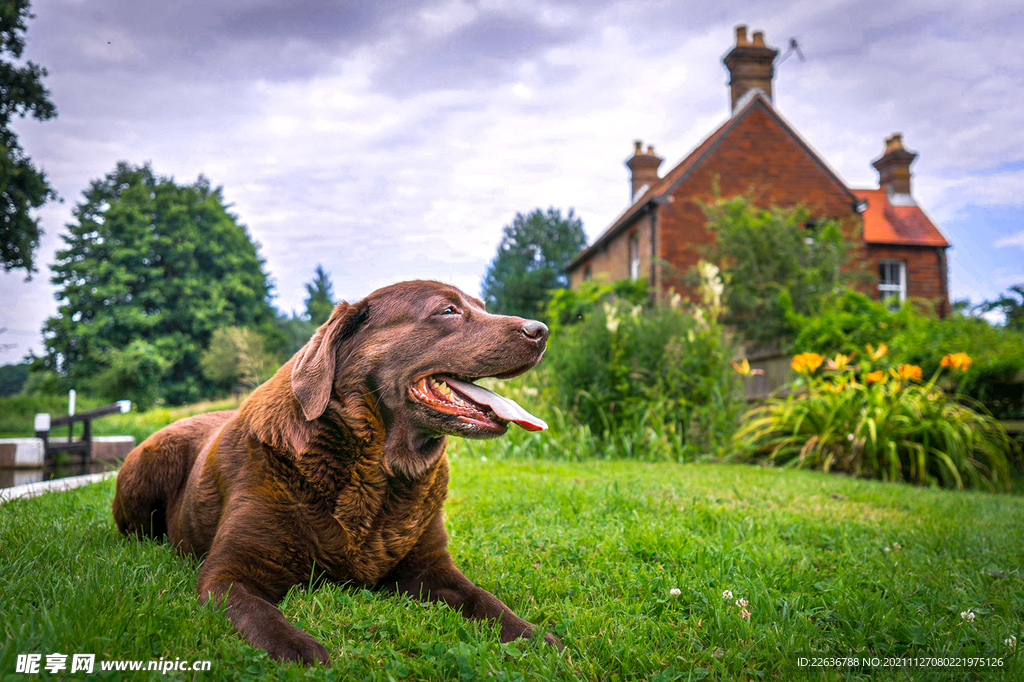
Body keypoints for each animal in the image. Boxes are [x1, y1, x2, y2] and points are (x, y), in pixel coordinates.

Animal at [112, 278, 557, 659]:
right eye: (447, 310)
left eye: (482, 306)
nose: (542, 330)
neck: (379, 474)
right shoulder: (227, 575)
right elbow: (260, 615)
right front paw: (300, 649)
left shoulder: (431, 567)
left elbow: (486, 600)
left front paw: (536, 636)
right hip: (148, 468)